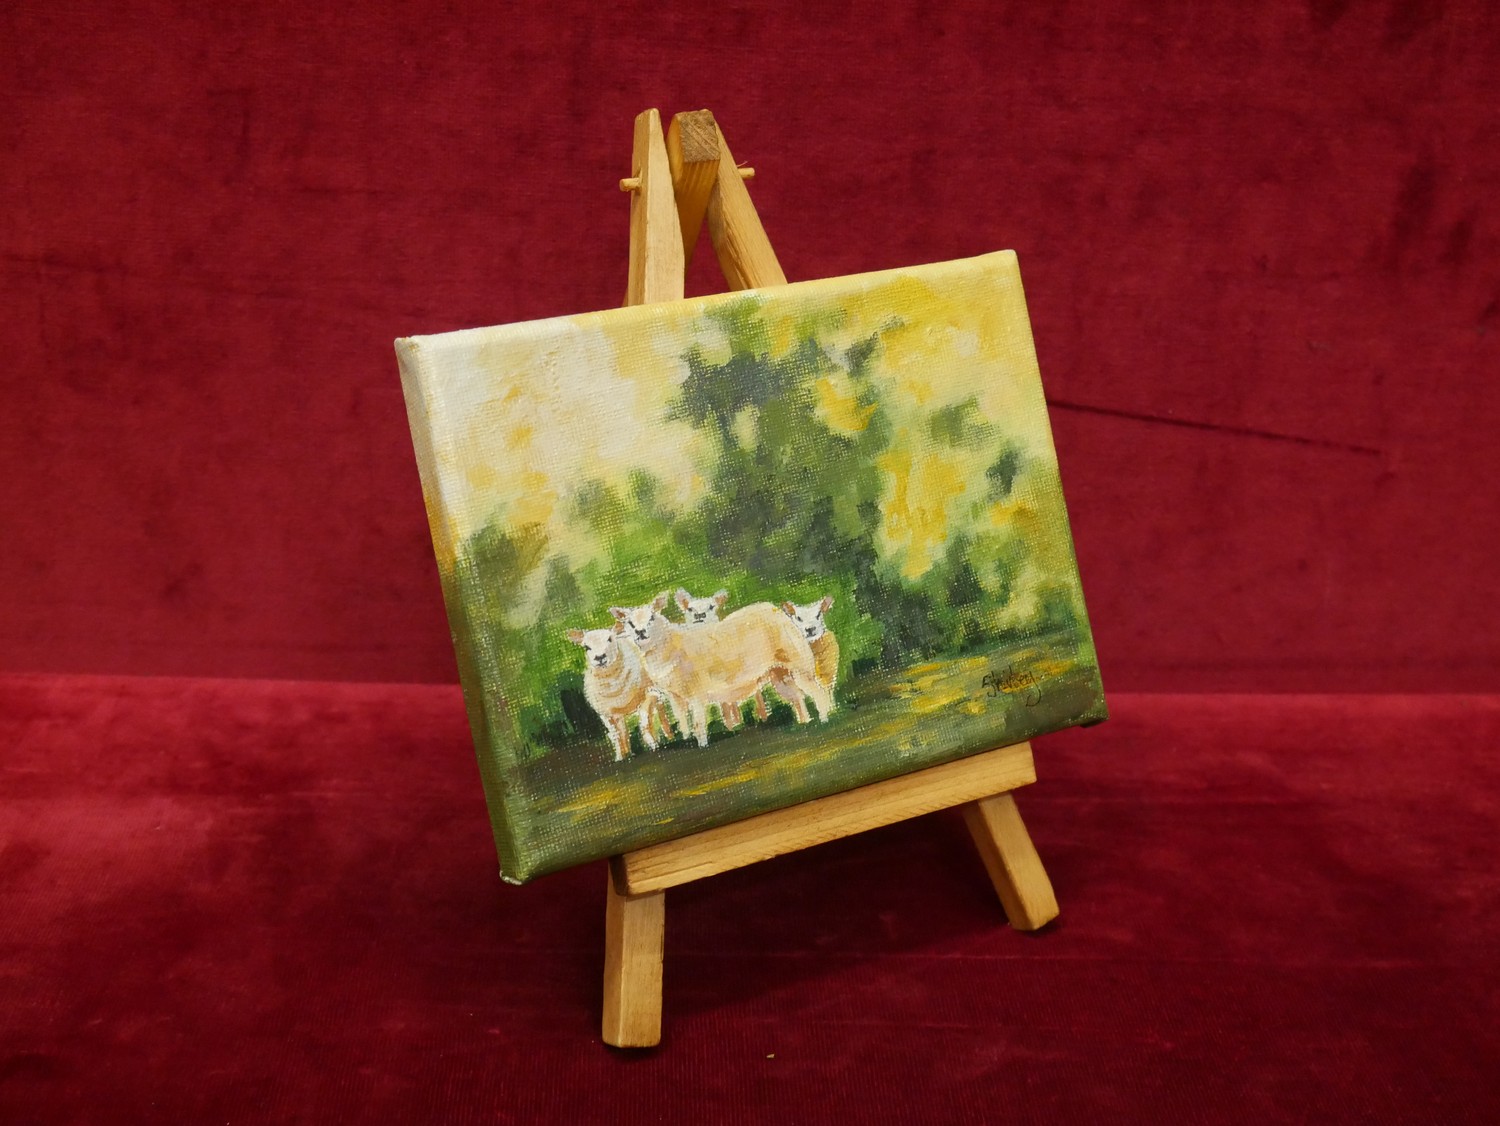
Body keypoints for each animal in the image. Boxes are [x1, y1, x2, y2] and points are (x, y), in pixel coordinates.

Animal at [565, 626, 673, 761]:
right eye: (586, 647)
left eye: (610, 639)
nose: (600, 657)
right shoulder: (607, 714)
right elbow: (617, 734)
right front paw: (621, 756)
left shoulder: (649, 694)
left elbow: (644, 718)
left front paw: (651, 743)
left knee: (659, 711)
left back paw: (668, 736)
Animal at [613, 593, 831, 748]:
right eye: (630, 623)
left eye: (651, 618)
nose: (640, 632)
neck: (669, 645)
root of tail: (773, 609)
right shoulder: (674, 696)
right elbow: (683, 722)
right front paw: (687, 739)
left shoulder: (696, 692)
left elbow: (699, 723)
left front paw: (702, 745)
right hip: (779, 674)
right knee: (797, 698)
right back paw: (805, 723)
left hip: (800, 665)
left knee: (819, 693)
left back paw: (824, 721)